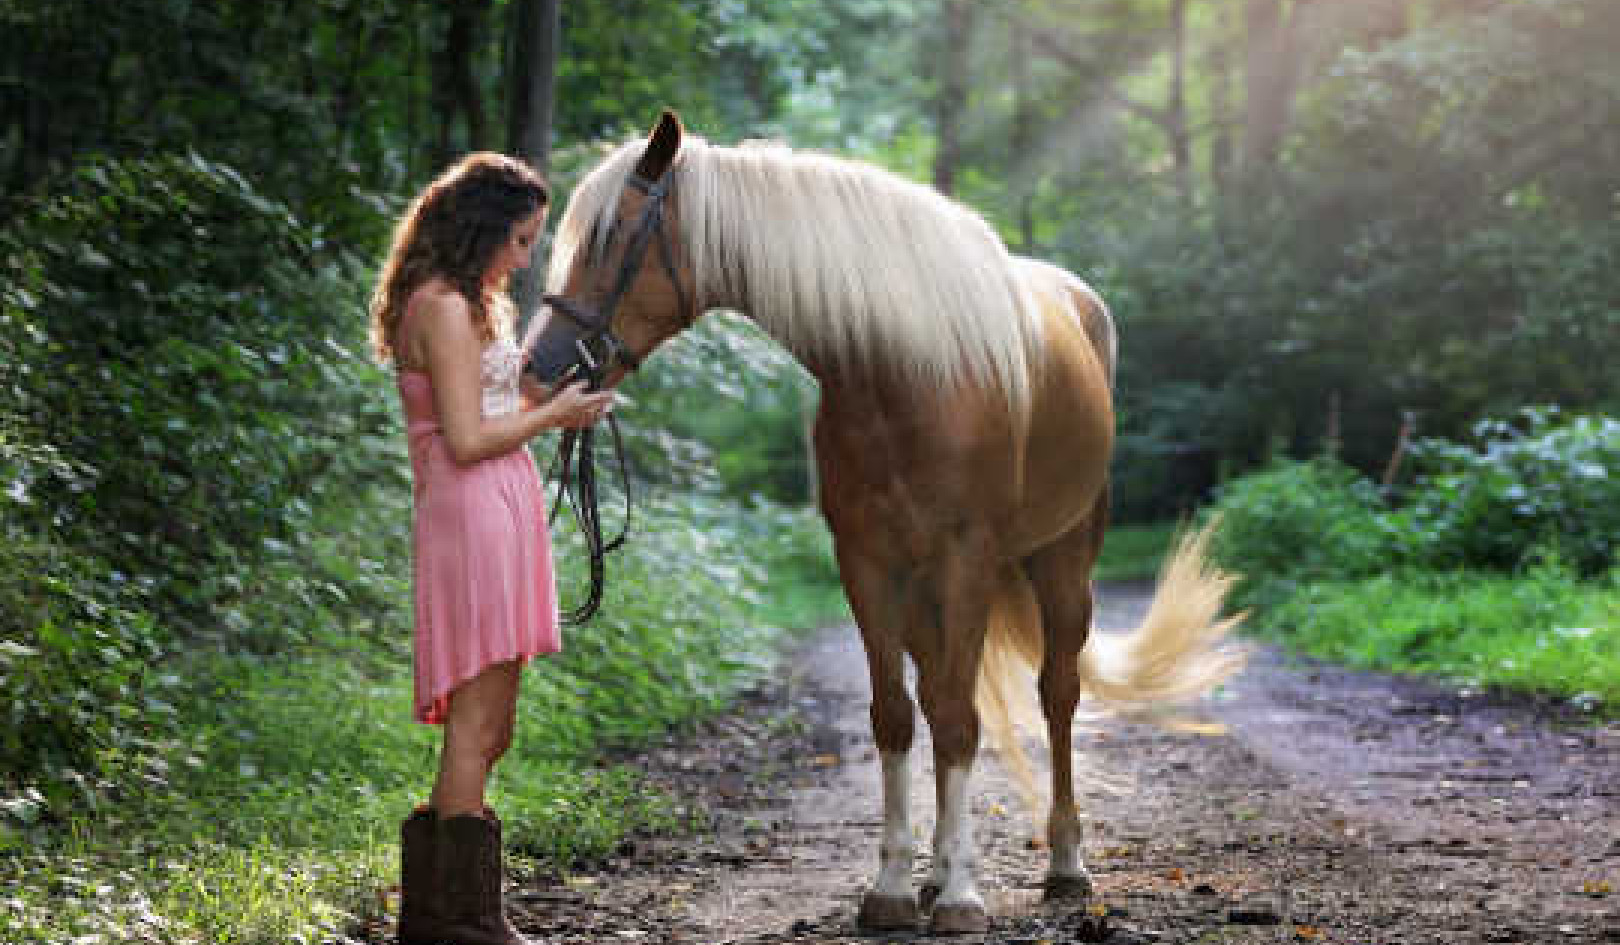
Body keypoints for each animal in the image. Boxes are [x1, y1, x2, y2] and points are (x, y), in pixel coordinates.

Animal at [531, 112, 1237, 940]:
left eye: (611, 235)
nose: (540, 365)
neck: (904, 372)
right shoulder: (866, 563)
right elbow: (897, 716)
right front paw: (898, 886)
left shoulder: (966, 559)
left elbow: (960, 720)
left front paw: (962, 896)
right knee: (937, 692)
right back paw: (935, 872)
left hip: (1062, 563)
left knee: (1056, 694)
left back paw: (1064, 863)